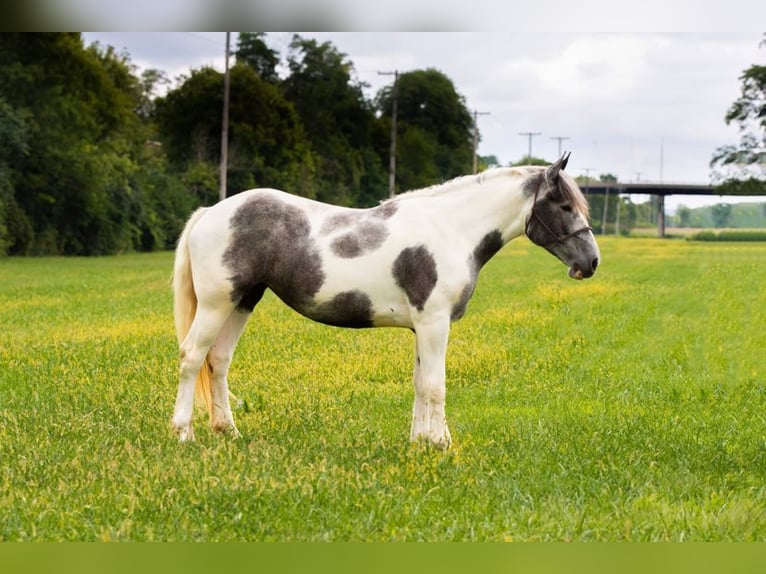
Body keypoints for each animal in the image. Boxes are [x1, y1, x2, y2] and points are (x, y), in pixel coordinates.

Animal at [172, 153, 600, 450]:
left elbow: (419, 383)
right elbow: (435, 384)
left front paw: (420, 442)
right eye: (565, 206)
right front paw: (440, 444)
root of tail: (211, 212)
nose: (591, 262)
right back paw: (183, 433)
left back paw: (228, 430)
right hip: (216, 304)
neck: (451, 229)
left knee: (219, 360)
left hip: (242, 301)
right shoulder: (434, 323)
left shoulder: (422, 327)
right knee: (193, 356)